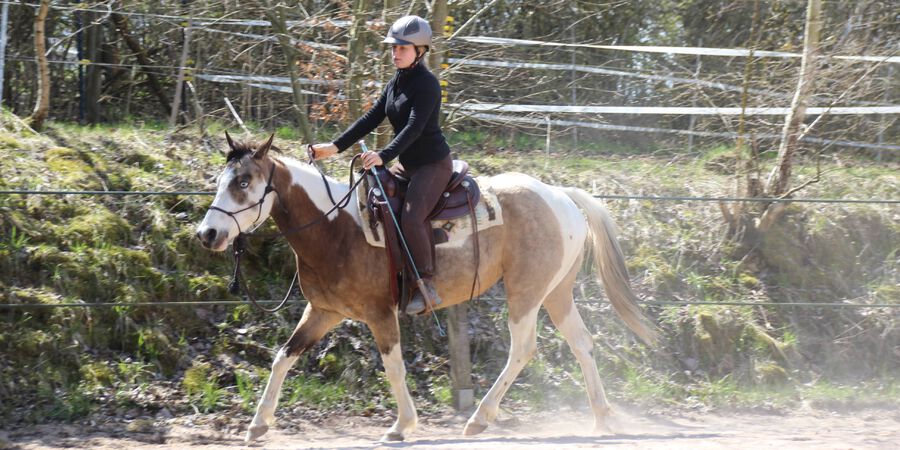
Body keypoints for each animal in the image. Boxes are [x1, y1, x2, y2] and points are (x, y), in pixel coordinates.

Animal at [197, 134, 656, 442]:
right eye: (222, 180)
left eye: (243, 182)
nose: (208, 234)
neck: (336, 228)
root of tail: (559, 194)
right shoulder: (323, 312)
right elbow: (283, 357)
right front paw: (258, 423)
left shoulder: (379, 314)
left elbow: (394, 368)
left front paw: (402, 425)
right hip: (557, 293)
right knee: (582, 342)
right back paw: (601, 416)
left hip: (526, 293)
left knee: (523, 348)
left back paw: (480, 417)